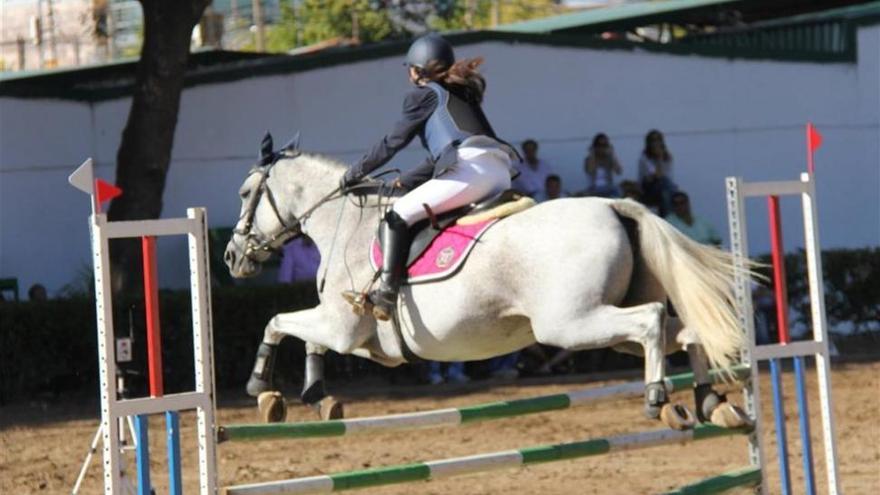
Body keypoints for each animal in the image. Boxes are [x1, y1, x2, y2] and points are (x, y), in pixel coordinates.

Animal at [225, 144, 748, 430]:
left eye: (246, 194)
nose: (231, 256)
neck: (345, 221)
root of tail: (614, 205)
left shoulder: (340, 326)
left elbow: (276, 322)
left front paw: (262, 390)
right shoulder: (353, 337)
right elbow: (306, 338)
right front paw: (318, 394)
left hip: (570, 324)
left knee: (652, 321)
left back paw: (658, 396)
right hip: (604, 329)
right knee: (685, 331)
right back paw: (710, 403)